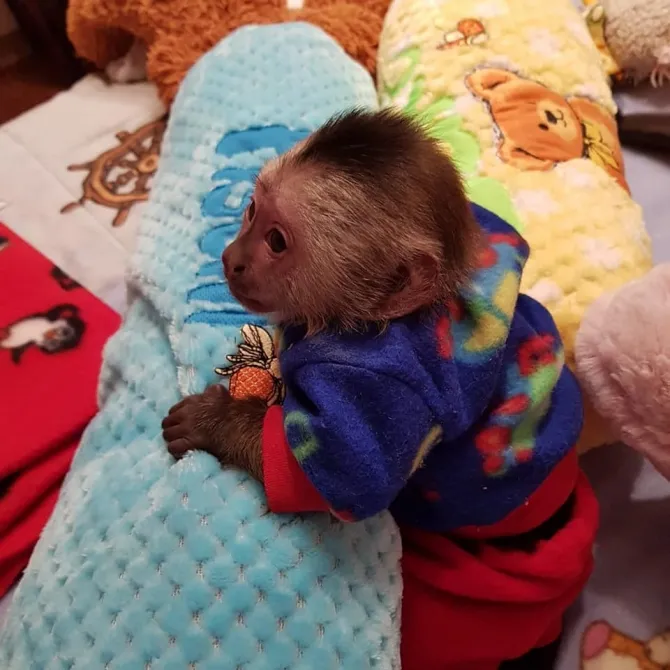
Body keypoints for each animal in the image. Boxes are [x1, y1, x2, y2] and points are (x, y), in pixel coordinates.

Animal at [162, 109, 597, 669]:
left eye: (277, 242)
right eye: (252, 211)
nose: (232, 258)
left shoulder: (378, 379)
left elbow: (335, 478)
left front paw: (212, 422)